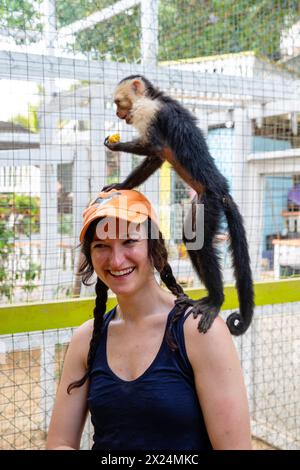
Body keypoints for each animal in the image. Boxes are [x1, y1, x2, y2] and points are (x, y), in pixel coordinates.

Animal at [102, 75, 253, 336]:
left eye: (118, 103)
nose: (118, 114)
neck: (155, 97)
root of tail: (223, 190)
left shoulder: (149, 111)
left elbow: (153, 146)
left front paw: (114, 146)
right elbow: (156, 157)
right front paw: (122, 184)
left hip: (210, 201)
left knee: (201, 243)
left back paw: (215, 300)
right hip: (199, 202)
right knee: (191, 239)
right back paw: (207, 297)